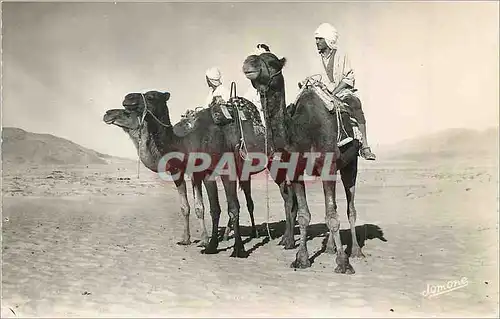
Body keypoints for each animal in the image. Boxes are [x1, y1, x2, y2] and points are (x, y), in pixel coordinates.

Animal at [242, 52, 364, 276]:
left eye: (272, 62)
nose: (249, 63)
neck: (302, 131)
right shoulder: (295, 170)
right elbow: (304, 215)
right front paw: (302, 259)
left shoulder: (328, 167)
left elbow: (333, 216)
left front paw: (343, 263)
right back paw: (330, 248)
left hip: (351, 163)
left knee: (350, 209)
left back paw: (356, 251)